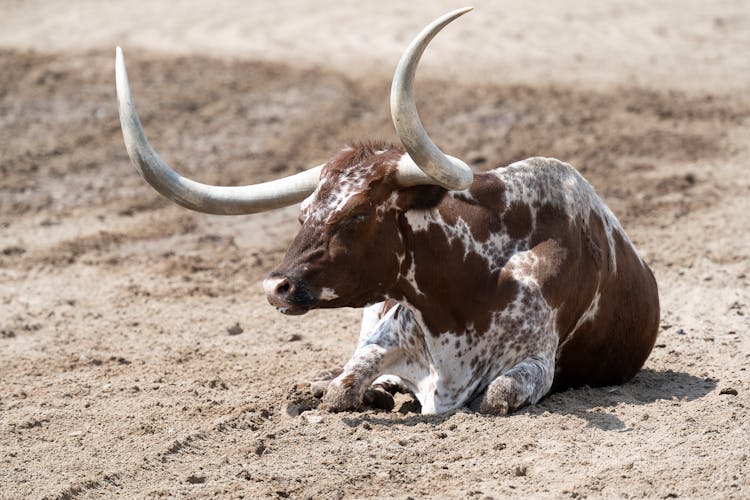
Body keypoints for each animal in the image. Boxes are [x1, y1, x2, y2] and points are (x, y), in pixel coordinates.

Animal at [114, 7, 660, 416]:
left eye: (357, 214)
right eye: (303, 213)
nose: (275, 287)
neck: (470, 285)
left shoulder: (536, 363)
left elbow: (497, 395)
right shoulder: (384, 335)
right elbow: (343, 386)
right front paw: (350, 388)